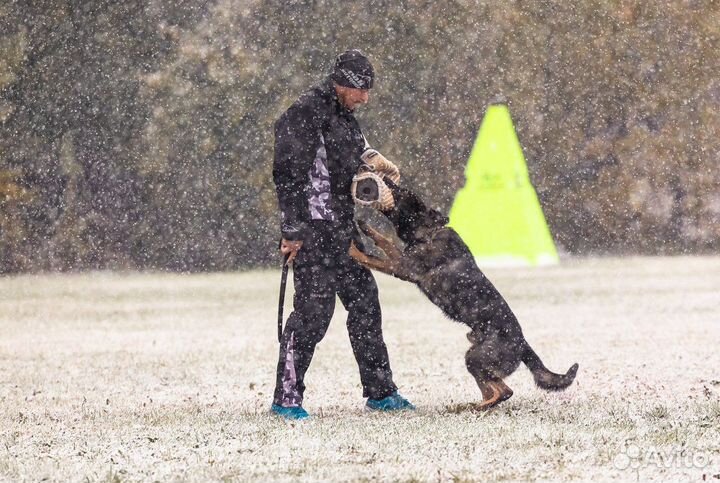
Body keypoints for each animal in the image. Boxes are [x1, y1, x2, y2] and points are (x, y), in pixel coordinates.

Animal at [348, 182, 580, 412]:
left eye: (404, 192)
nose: (387, 180)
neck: (429, 232)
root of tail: (523, 344)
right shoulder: (401, 260)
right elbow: (384, 240)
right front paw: (365, 227)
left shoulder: (402, 268)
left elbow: (373, 257)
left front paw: (353, 249)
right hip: (473, 356)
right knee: (494, 389)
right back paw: (473, 405)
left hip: (477, 358)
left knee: (504, 391)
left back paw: (474, 407)